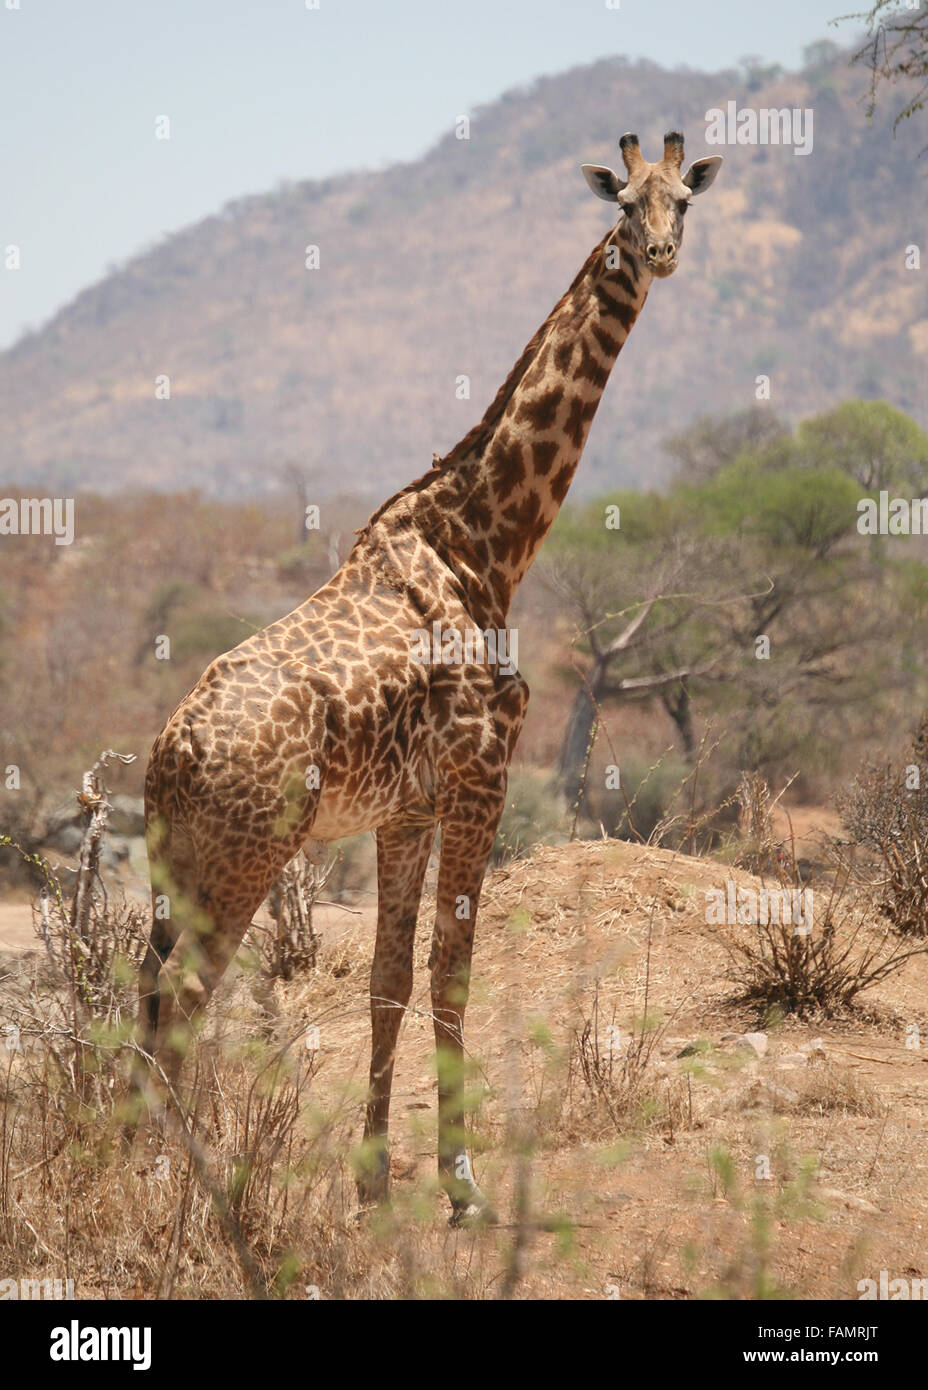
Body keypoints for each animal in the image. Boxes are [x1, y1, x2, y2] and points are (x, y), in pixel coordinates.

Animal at [136, 127, 716, 1217]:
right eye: (624, 205)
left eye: (684, 202)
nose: (659, 254)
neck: (487, 539)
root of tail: (168, 755)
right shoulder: (481, 772)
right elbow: (454, 972)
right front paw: (461, 1181)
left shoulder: (404, 805)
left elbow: (387, 979)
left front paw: (371, 1179)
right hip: (244, 857)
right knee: (183, 1003)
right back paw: (184, 1188)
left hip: (178, 864)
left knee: (145, 993)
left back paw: (122, 1163)